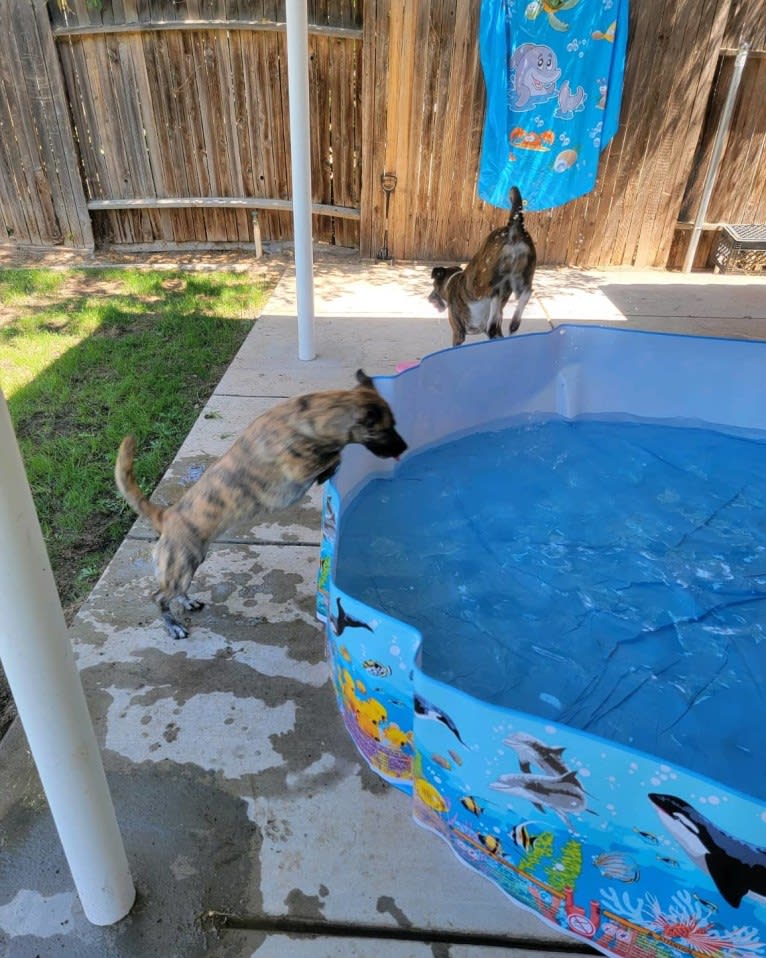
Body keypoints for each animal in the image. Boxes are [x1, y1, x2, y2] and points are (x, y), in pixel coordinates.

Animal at [115, 372, 408, 640]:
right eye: (388, 428)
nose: (405, 447)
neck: (310, 415)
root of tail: (166, 515)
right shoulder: (301, 467)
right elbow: (336, 456)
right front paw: (329, 469)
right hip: (181, 564)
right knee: (159, 596)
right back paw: (172, 624)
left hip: (189, 563)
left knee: (175, 591)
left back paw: (186, 601)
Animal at [428, 186, 536, 346]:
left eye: (434, 286)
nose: (429, 298)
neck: (451, 282)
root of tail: (514, 227)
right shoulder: (496, 335)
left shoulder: (458, 333)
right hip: (520, 277)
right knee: (525, 292)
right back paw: (513, 322)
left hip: (481, 282)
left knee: (494, 292)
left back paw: (495, 314)